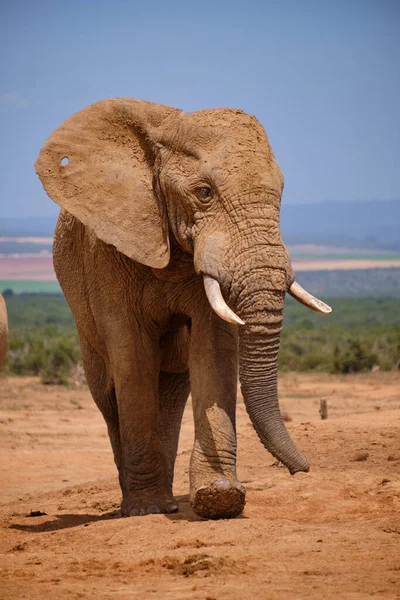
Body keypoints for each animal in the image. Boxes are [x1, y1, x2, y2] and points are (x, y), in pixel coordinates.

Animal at [35, 99, 332, 520]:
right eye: (203, 192)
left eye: (281, 193)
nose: (300, 469)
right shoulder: (107, 251)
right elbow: (132, 355)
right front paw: (145, 510)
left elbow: (214, 349)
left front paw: (220, 497)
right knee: (108, 395)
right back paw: (141, 501)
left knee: (171, 394)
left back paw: (170, 501)